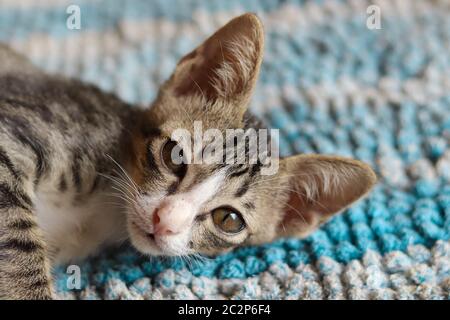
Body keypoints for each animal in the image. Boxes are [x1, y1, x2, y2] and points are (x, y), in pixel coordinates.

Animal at [0, 13, 376, 298]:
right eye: (174, 156)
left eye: (229, 219)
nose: (163, 220)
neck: (104, 209)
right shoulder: (12, 133)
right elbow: (17, 247)